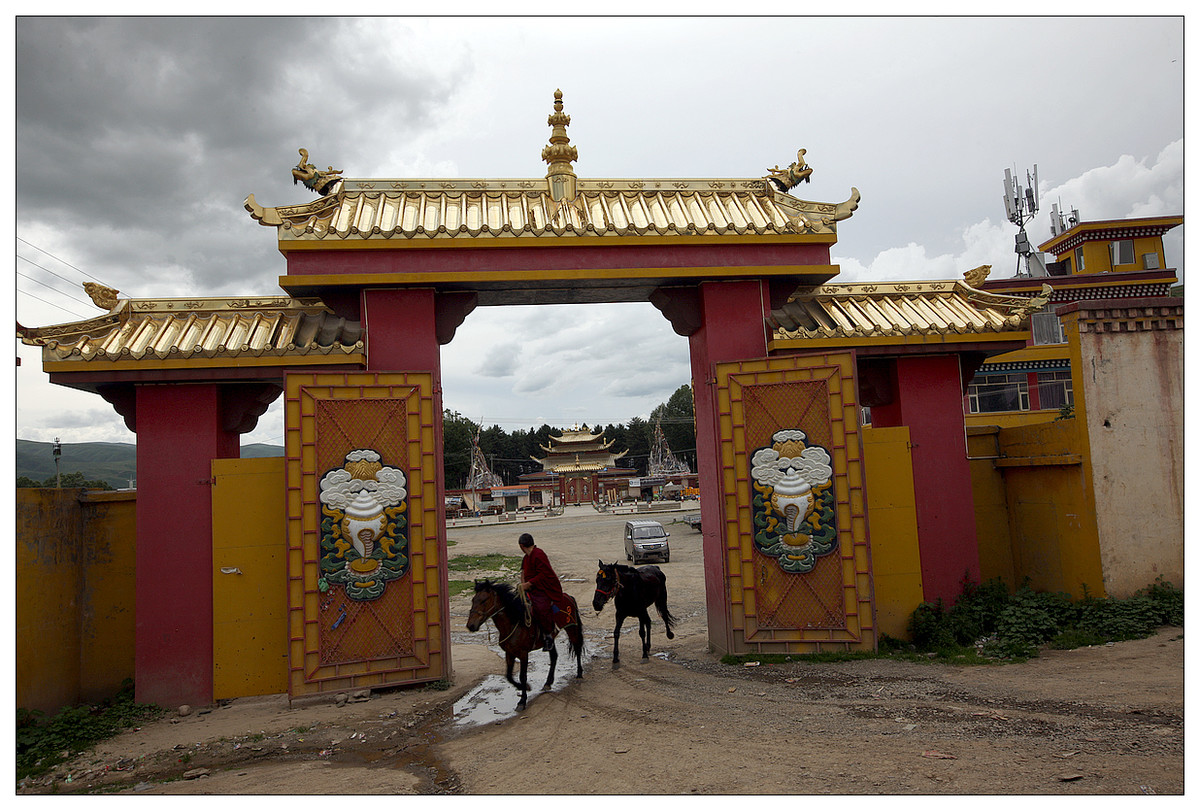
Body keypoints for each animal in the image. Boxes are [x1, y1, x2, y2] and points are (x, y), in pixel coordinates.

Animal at [465, 575, 583, 710]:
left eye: (484, 600)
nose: (470, 625)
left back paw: (579, 674)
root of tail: (568, 596)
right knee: (554, 656)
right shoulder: (509, 653)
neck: (514, 621)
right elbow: (509, 676)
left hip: (572, 628)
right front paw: (525, 687)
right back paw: (548, 683)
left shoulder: (523, 654)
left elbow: (522, 676)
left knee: (577, 648)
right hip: (551, 639)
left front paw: (522, 700)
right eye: (473, 600)